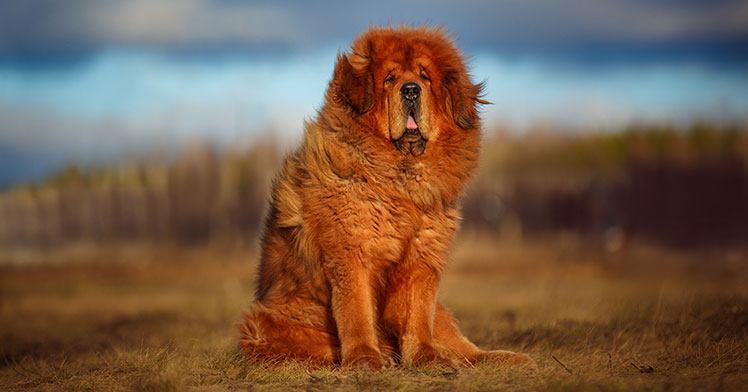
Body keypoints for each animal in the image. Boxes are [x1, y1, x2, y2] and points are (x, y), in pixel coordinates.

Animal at [238, 26, 532, 370]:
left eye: (424, 77)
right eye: (389, 79)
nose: (411, 90)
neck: (400, 181)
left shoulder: (421, 259)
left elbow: (418, 316)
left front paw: (425, 358)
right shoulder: (353, 255)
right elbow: (357, 313)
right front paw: (365, 358)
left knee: (463, 347)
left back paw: (503, 358)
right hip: (265, 323)